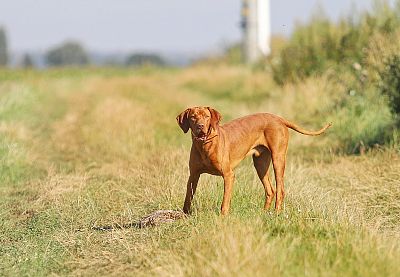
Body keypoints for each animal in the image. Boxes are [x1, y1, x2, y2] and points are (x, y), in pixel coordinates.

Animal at [176, 105, 332, 213]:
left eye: (207, 116)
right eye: (193, 117)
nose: (200, 126)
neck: (205, 145)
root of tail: (279, 118)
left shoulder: (228, 175)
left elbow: (225, 201)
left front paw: (223, 218)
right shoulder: (193, 175)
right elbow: (188, 197)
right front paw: (185, 215)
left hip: (278, 159)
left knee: (280, 190)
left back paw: (276, 214)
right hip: (260, 164)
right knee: (270, 190)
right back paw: (264, 213)